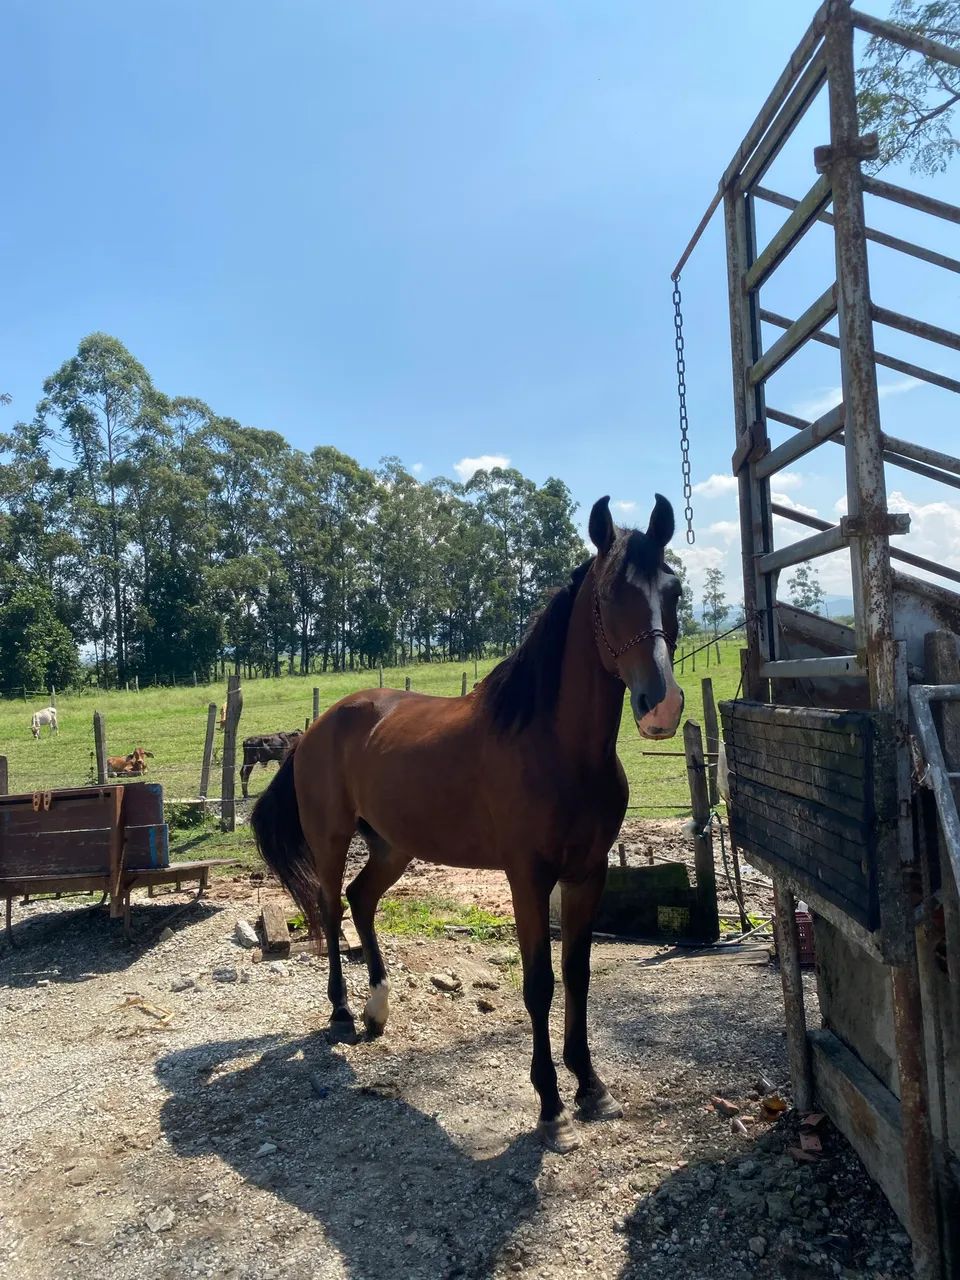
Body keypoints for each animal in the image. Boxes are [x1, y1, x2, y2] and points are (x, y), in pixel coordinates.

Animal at [251, 495, 684, 1153]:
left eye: (674, 590)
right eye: (612, 593)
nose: (662, 706)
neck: (555, 747)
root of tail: (317, 727)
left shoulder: (588, 874)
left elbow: (578, 974)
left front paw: (591, 1086)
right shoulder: (527, 878)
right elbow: (539, 984)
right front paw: (551, 1107)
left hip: (394, 846)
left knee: (360, 898)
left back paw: (378, 1008)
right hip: (330, 839)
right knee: (328, 907)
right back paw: (343, 1013)